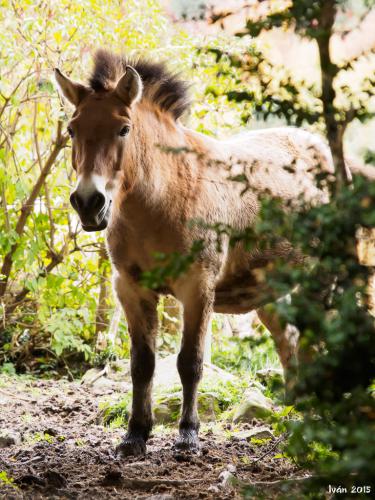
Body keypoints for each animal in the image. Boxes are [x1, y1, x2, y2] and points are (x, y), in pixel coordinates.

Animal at [53, 49, 356, 458]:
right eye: (72, 130)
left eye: (124, 129)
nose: (89, 202)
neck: (163, 198)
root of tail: (323, 153)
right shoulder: (131, 289)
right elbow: (142, 364)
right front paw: (136, 434)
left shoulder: (197, 289)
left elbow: (190, 363)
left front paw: (187, 434)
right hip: (271, 294)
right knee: (289, 341)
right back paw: (296, 409)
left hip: (322, 281)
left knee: (316, 340)